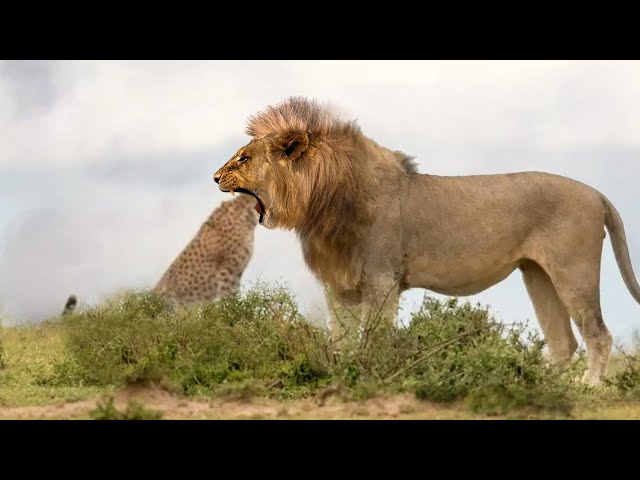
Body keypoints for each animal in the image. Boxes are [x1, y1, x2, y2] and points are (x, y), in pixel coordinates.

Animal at [215, 96, 640, 386]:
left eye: (244, 158)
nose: (216, 177)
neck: (322, 206)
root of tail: (597, 193)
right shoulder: (340, 284)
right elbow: (341, 338)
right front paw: (341, 372)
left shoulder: (382, 280)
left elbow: (372, 338)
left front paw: (368, 375)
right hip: (537, 274)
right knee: (563, 342)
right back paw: (538, 384)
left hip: (573, 270)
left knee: (598, 334)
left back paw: (587, 387)